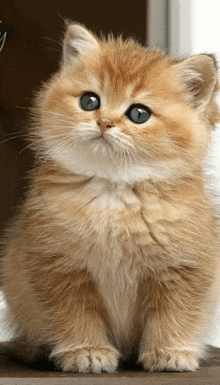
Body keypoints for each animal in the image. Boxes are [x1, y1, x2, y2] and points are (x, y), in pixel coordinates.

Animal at [0, 21, 220, 372]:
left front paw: (169, 351)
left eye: (139, 113)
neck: (115, 193)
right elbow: (76, 316)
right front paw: (86, 351)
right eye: (89, 101)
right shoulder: (60, 267)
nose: (104, 122)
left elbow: (174, 315)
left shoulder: (183, 269)